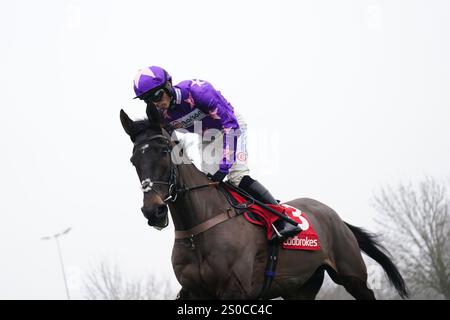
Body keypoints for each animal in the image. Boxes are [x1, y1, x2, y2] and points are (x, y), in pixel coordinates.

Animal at [118, 107, 408, 300]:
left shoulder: (235, 291)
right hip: (299, 289)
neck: (198, 228)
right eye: (133, 160)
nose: (153, 210)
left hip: (353, 276)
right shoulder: (195, 293)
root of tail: (334, 216)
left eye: (165, 151)